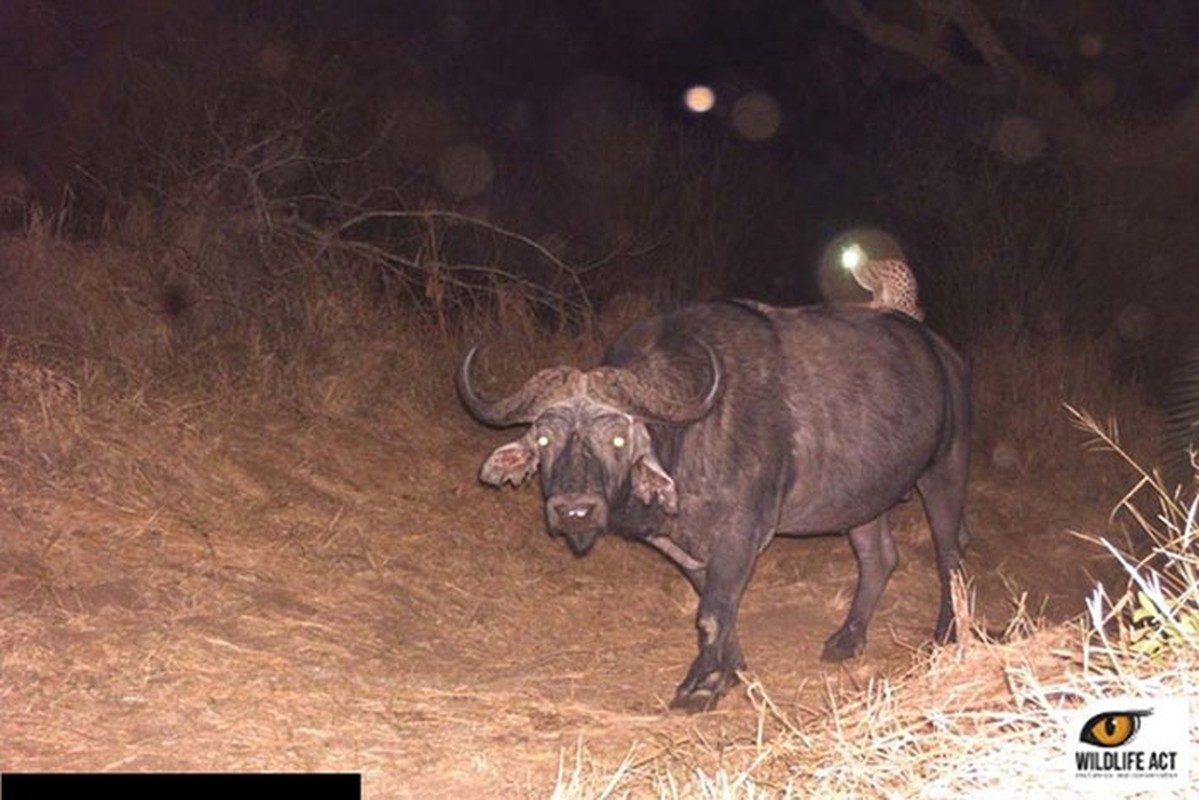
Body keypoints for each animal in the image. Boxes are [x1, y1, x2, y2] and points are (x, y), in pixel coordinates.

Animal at [458, 302, 973, 714]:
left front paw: (700, 686)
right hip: (863, 500)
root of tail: (945, 354)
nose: (574, 512)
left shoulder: (741, 534)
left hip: (945, 469)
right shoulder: (680, 544)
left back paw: (948, 632)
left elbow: (712, 612)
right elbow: (716, 606)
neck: (691, 438)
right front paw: (730, 670)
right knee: (878, 557)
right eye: (545, 440)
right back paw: (847, 638)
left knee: (950, 555)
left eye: (619, 438)